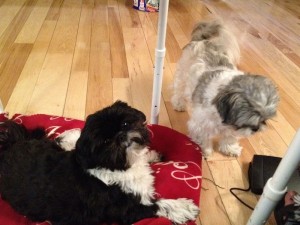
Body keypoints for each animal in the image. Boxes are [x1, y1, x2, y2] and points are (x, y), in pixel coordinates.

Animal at [0, 101, 199, 225]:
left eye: (125, 124)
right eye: (105, 141)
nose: (120, 136)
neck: (118, 166)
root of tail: (10, 146)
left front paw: (150, 155)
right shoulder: (126, 208)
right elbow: (157, 205)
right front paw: (183, 208)